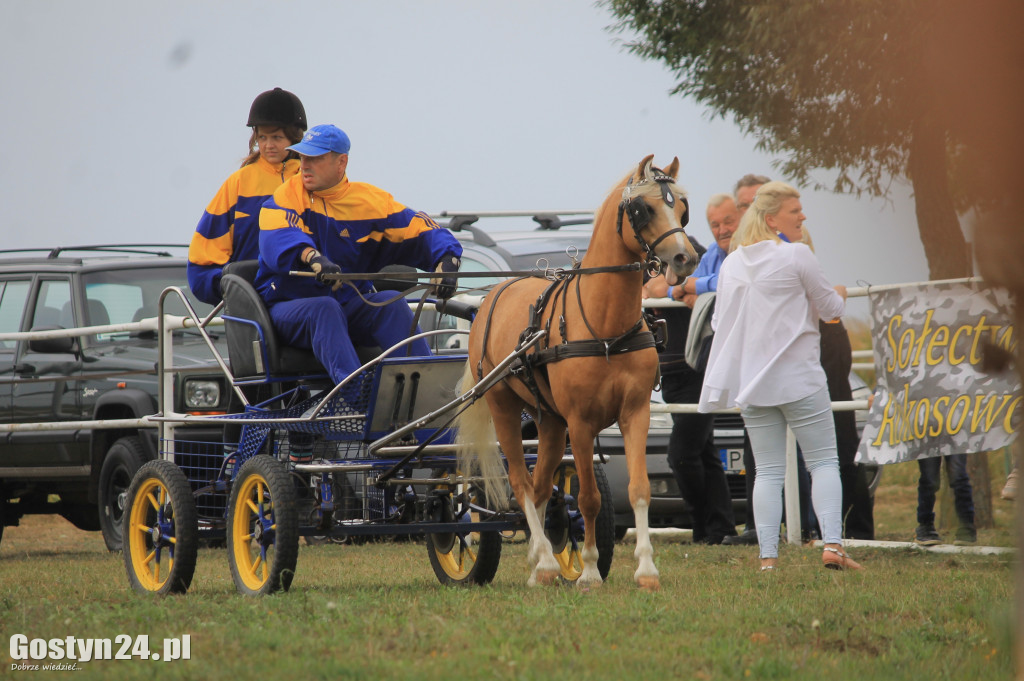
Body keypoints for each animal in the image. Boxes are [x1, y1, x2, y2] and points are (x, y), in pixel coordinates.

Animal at [456, 155, 696, 589]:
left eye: (683, 208)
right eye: (644, 209)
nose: (685, 258)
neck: (604, 328)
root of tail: (491, 296)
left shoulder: (635, 413)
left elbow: (639, 489)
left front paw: (646, 569)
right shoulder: (581, 423)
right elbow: (588, 498)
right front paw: (588, 570)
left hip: (550, 422)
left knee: (538, 487)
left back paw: (540, 564)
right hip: (504, 409)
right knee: (520, 483)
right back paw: (548, 562)